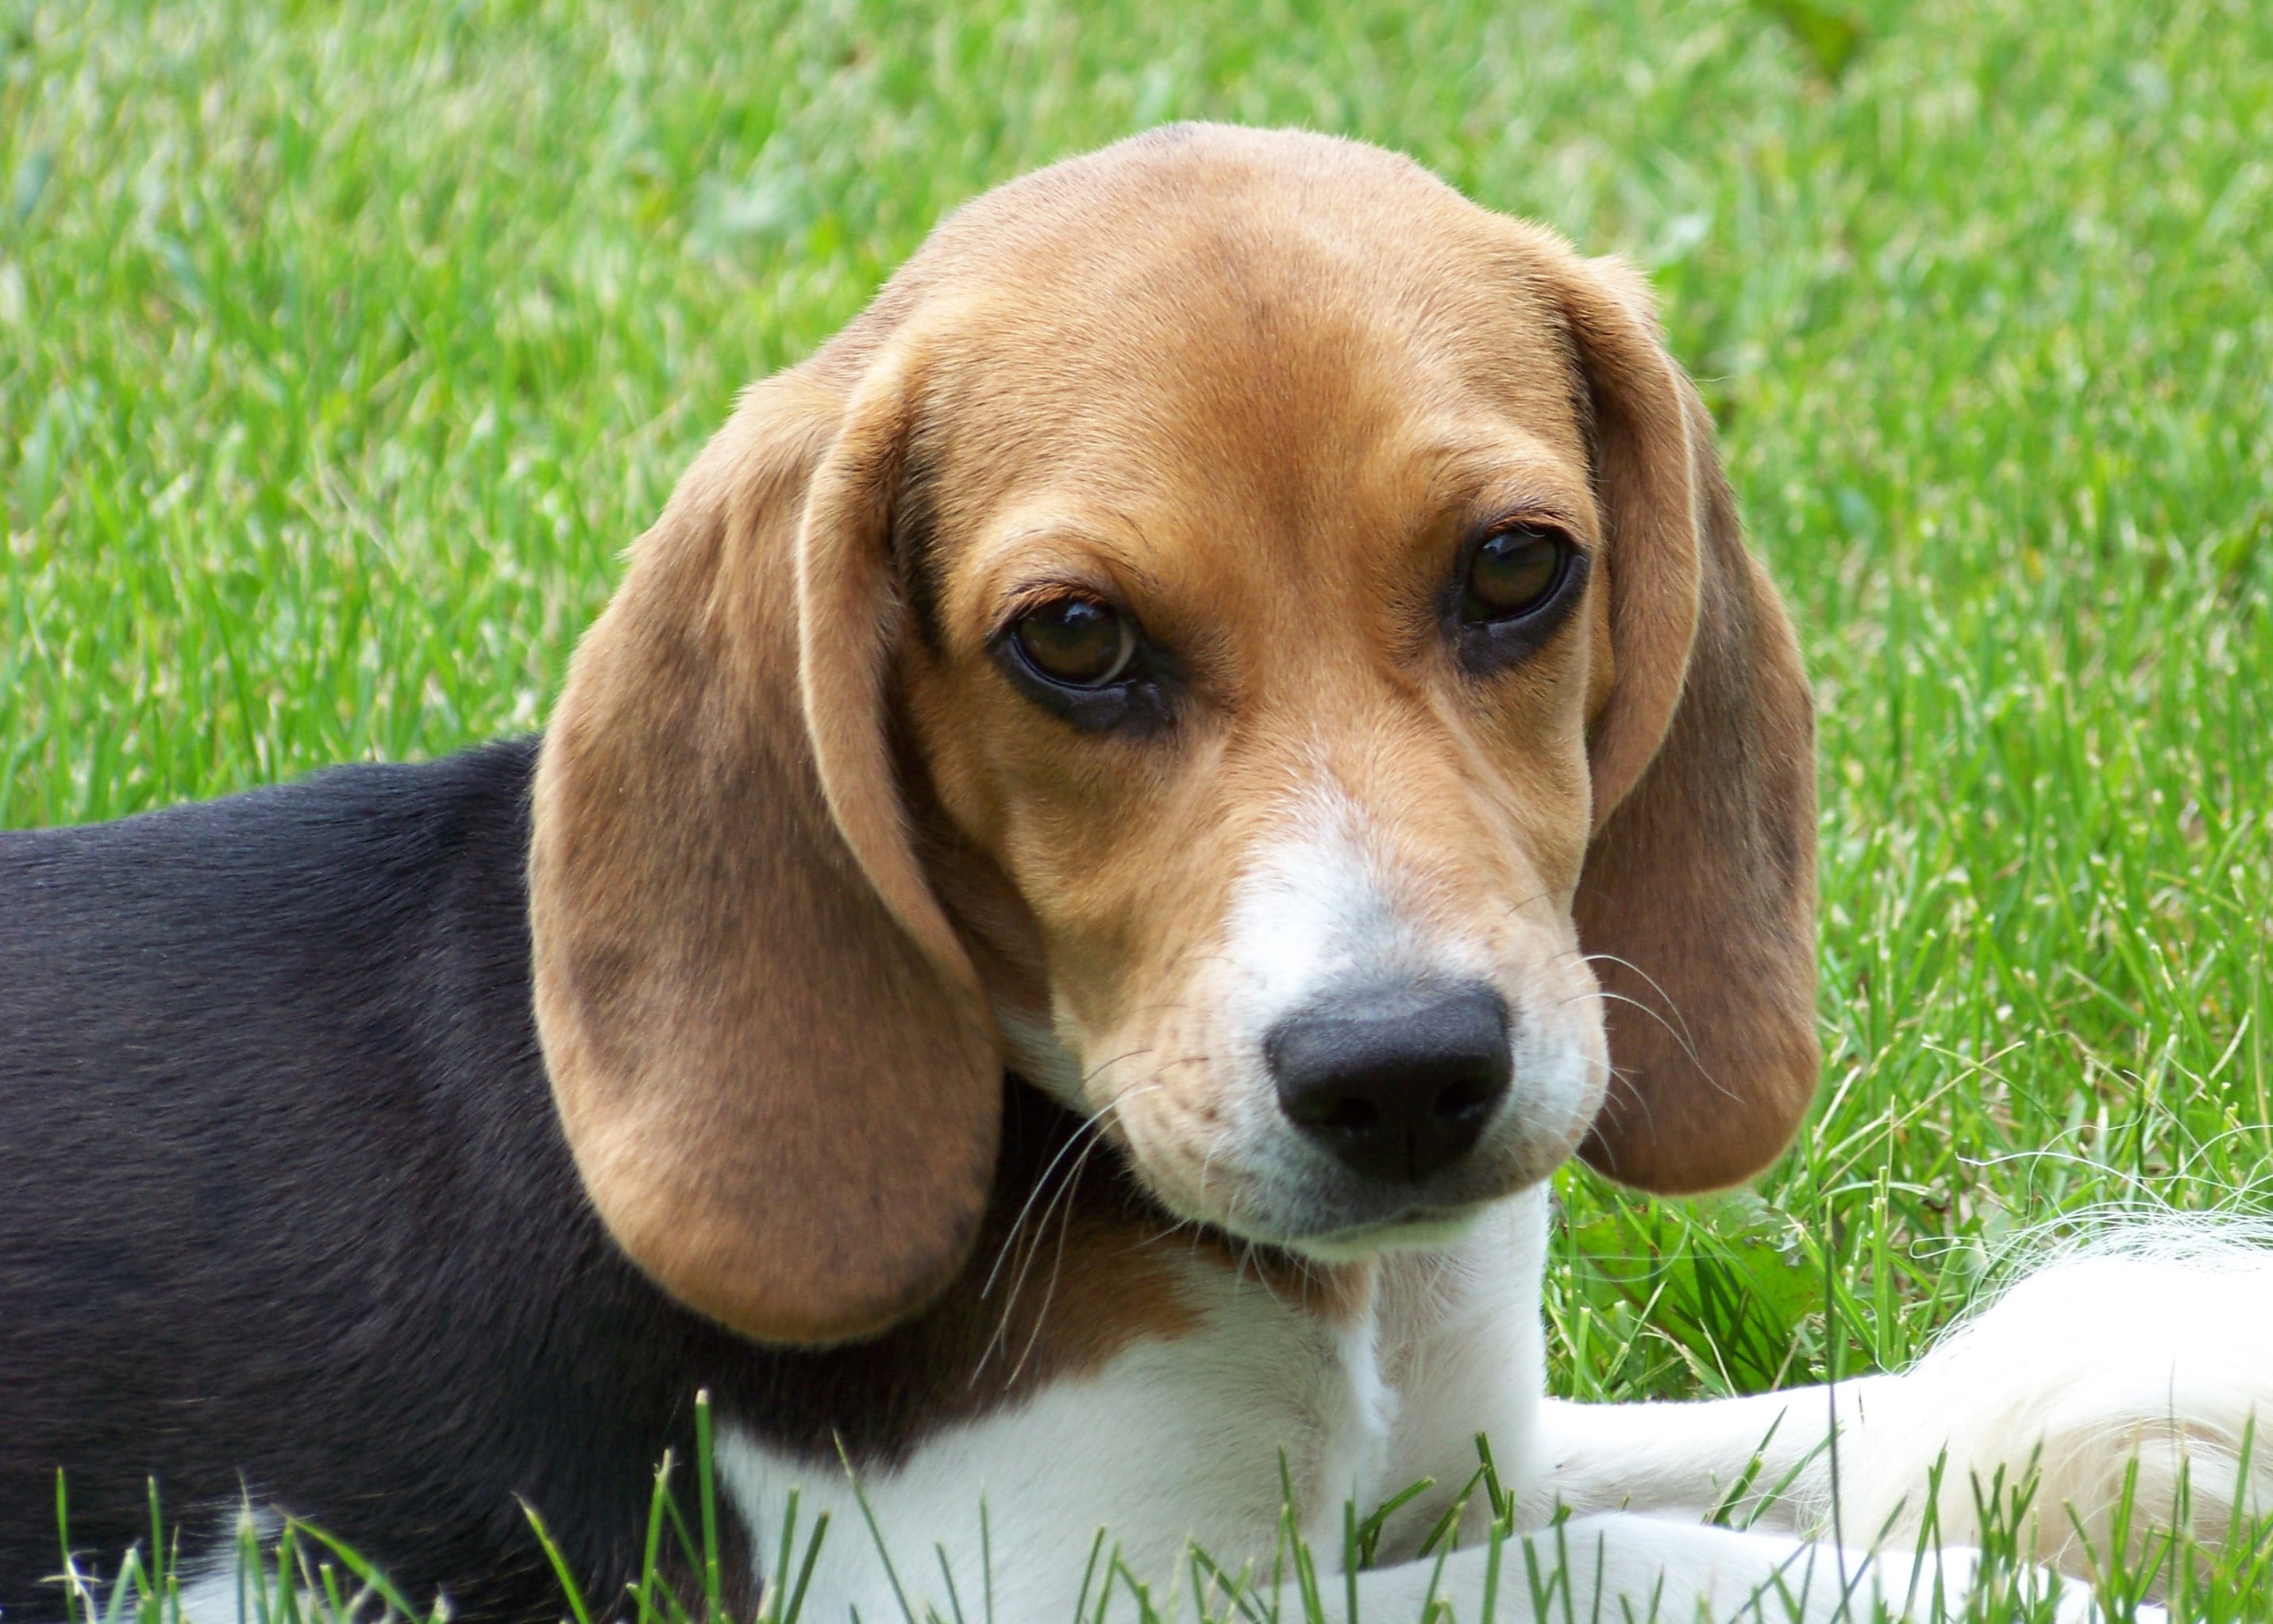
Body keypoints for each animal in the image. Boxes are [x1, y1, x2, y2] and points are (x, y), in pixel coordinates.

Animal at [9, 127, 2263, 1624]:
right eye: (1074, 641)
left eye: (1517, 568)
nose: (1404, 1074)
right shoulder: (1061, 1586)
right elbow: (1644, 1562)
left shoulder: (1460, 1457)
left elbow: (1776, 1436)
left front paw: (2148, 1413)